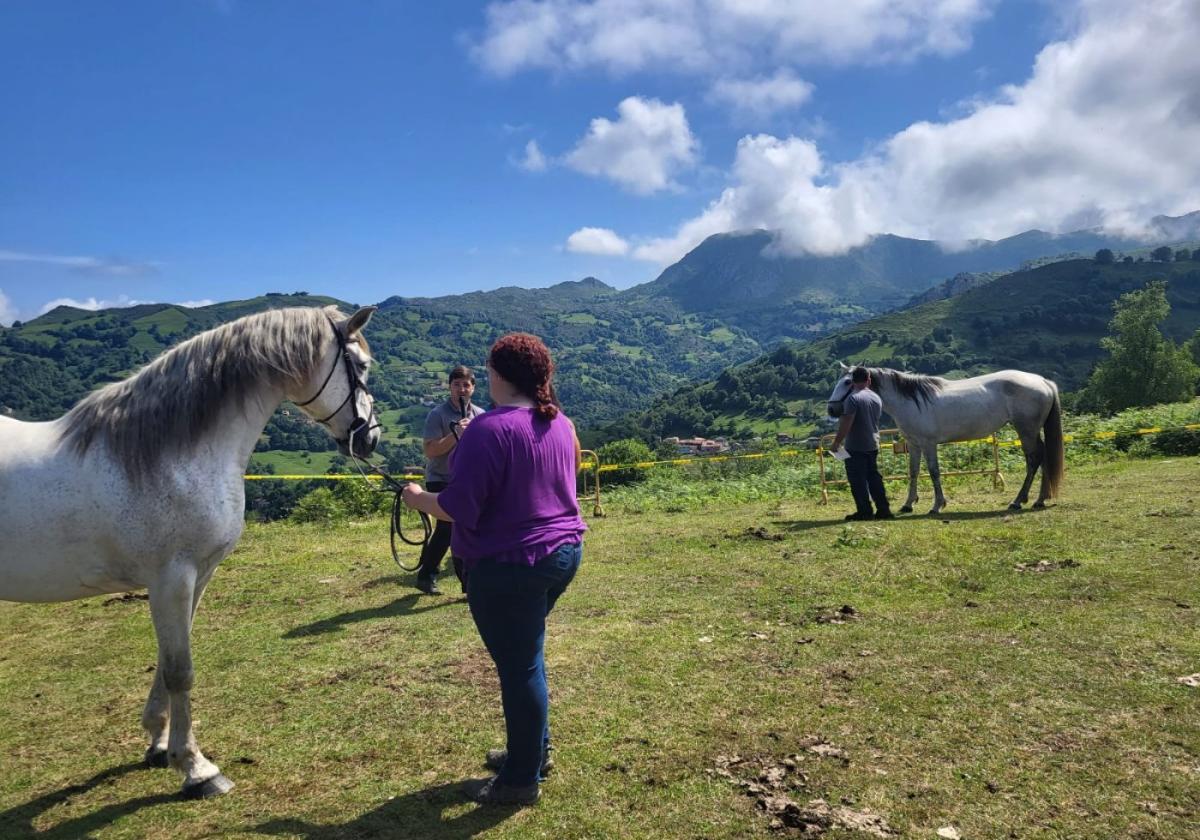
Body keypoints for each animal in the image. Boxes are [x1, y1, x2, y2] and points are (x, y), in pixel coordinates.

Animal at [0, 304, 379, 796]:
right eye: (362, 365)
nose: (370, 438)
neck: (168, 456)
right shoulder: (171, 578)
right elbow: (181, 670)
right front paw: (197, 768)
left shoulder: (197, 575)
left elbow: (167, 661)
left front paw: (160, 743)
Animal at [830, 364, 1065, 516]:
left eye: (848, 382)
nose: (831, 409)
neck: (911, 400)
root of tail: (1043, 381)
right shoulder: (914, 444)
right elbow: (913, 472)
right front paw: (908, 504)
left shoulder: (928, 444)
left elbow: (934, 472)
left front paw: (937, 505)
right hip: (1032, 431)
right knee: (1043, 457)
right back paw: (1039, 499)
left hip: (1026, 430)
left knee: (1034, 460)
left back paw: (1018, 501)